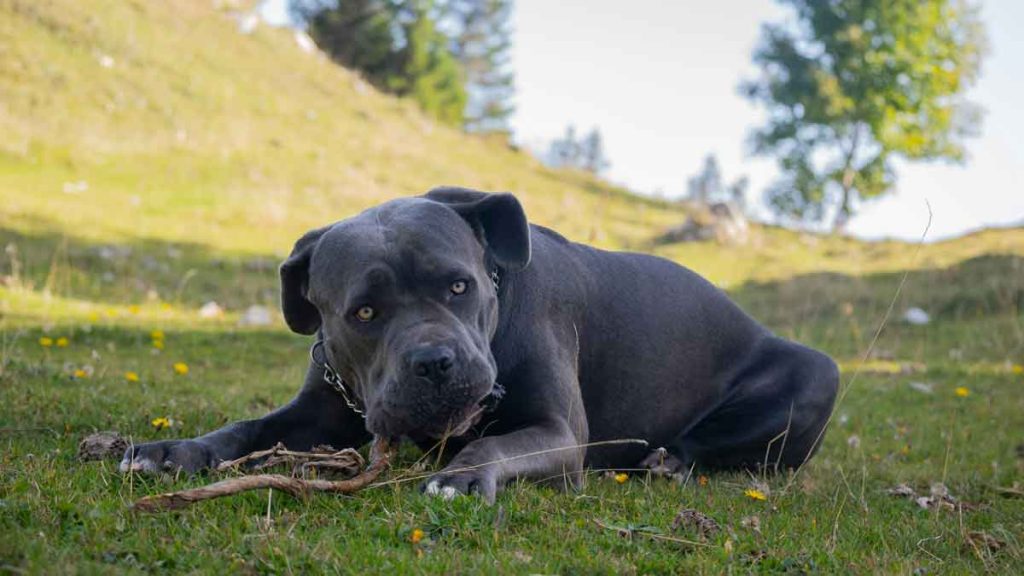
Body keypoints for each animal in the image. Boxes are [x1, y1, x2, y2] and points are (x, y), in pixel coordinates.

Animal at [121, 187, 839, 498]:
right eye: (364, 312)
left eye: (459, 285)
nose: (435, 362)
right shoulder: (318, 413)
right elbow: (245, 429)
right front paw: (172, 451)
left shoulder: (557, 431)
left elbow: (497, 442)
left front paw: (462, 476)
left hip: (819, 371)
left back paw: (667, 461)